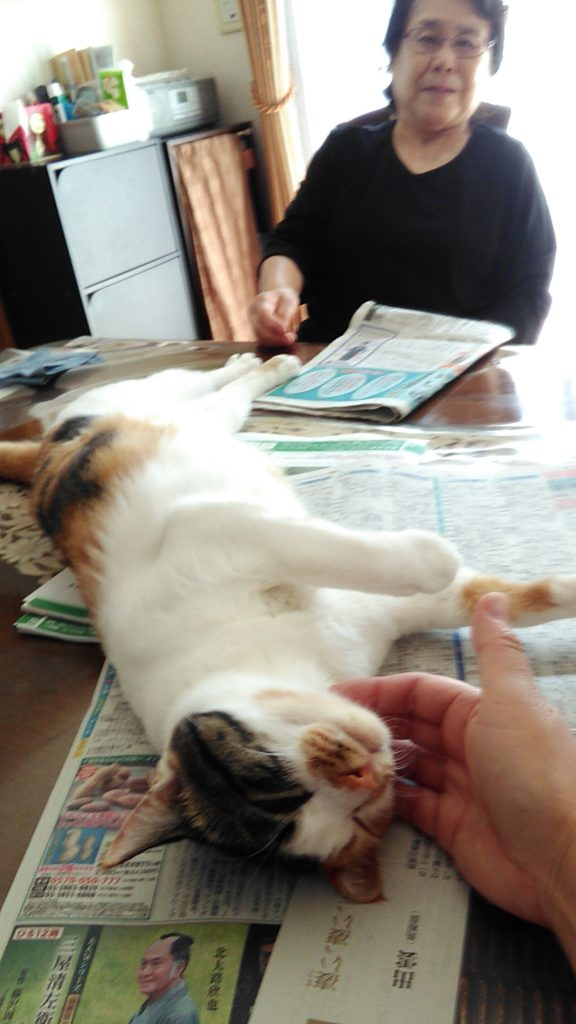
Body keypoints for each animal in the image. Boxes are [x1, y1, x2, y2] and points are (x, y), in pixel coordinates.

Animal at [3, 351, 576, 904]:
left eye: (271, 785)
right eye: (360, 816)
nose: (362, 775)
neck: (303, 661)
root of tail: (45, 452)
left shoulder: (212, 528)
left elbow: (342, 550)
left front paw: (437, 553)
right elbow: (487, 597)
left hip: (152, 398)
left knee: (209, 387)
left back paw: (264, 364)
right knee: (222, 400)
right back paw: (266, 367)